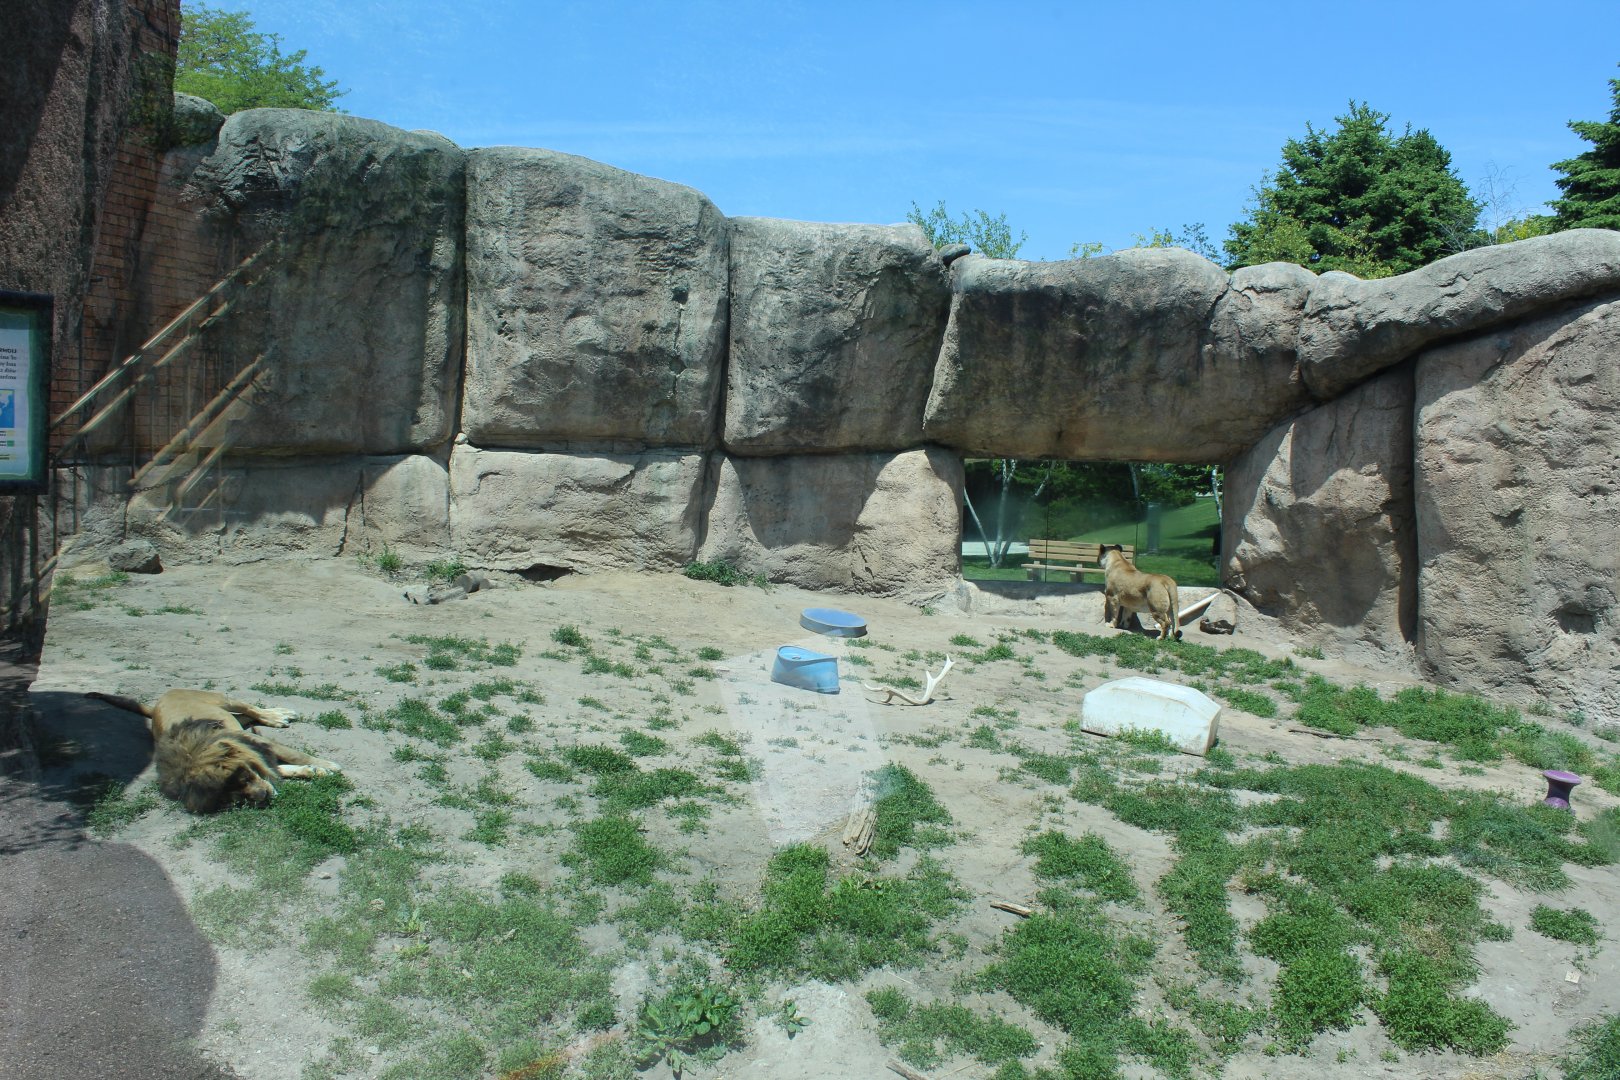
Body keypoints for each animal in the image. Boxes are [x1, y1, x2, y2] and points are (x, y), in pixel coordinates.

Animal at [86, 689, 341, 813]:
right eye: (237, 800)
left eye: (244, 778)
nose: (263, 798)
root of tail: (159, 701)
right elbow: (280, 769)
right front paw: (315, 771)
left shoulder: (256, 742)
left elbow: (295, 755)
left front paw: (329, 766)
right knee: (246, 716)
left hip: (222, 699)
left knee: (250, 708)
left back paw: (278, 716)